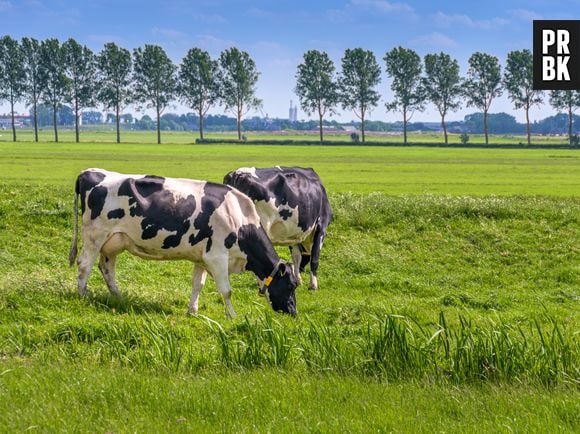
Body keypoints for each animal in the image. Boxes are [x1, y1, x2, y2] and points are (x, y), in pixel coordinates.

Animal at [68, 168, 296, 318]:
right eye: (291, 285)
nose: (293, 312)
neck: (238, 217)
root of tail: (89, 172)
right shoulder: (217, 256)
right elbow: (226, 290)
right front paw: (232, 316)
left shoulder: (202, 258)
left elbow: (198, 284)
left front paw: (192, 311)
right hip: (94, 236)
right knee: (84, 265)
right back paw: (82, 296)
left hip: (113, 242)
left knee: (106, 268)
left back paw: (119, 298)